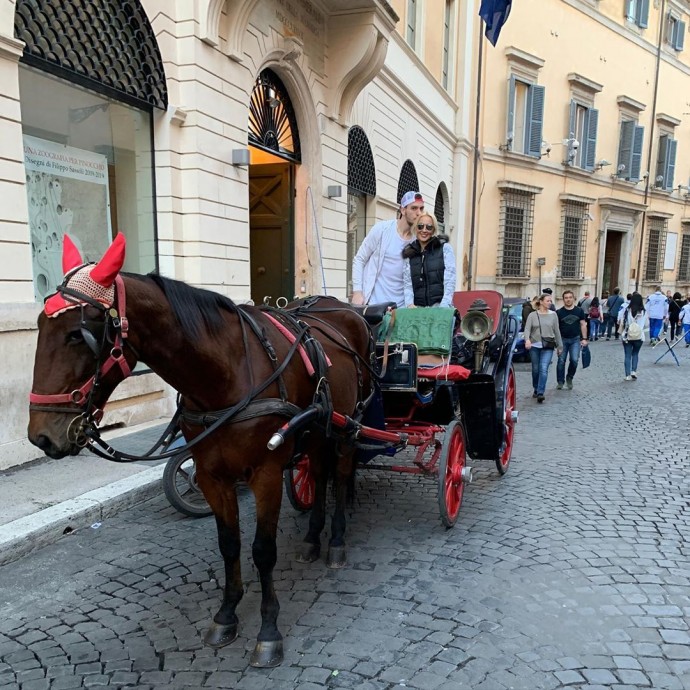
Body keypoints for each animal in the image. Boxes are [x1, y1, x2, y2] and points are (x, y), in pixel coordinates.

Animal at [26, 232, 374, 668]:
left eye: (79, 334)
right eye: (40, 324)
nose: (40, 436)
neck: (224, 373)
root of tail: (343, 310)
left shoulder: (265, 473)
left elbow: (263, 550)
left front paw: (268, 630)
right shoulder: (210, 474)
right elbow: (229, 545)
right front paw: (226, 614)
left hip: (347, 427)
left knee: (340, 478)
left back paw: (337, 542)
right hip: (316, 431)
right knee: (320, 471)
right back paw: (312, 539)